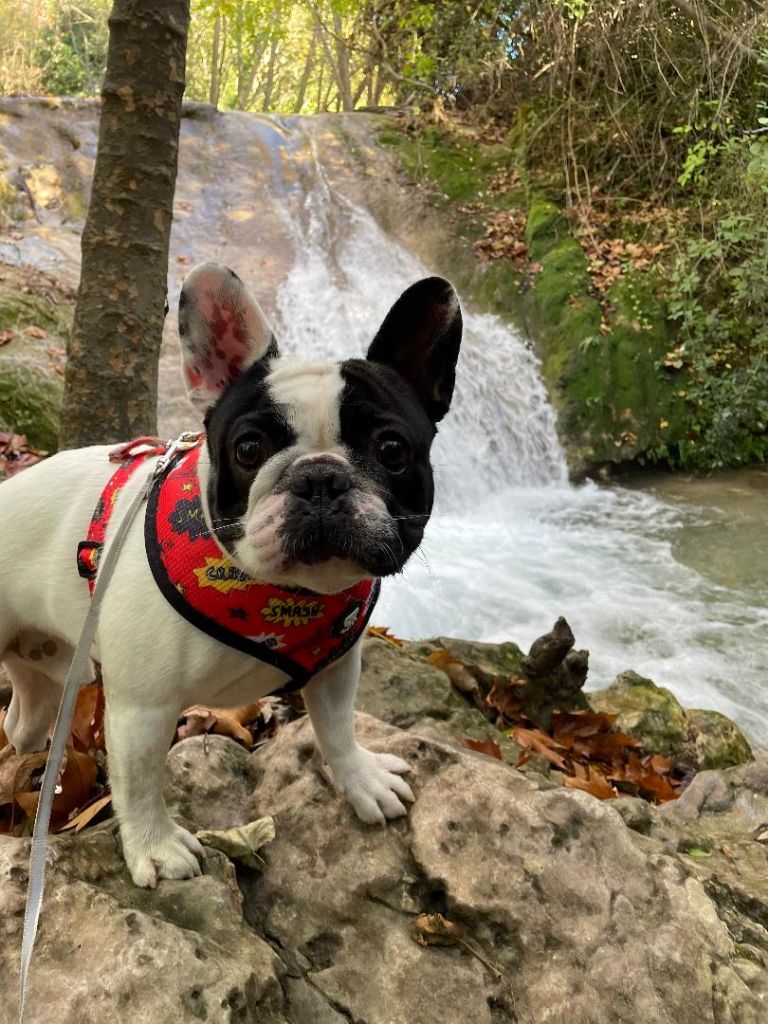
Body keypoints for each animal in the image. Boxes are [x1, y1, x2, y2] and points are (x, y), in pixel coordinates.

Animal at [0, 266, 462, 888]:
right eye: (248, 448)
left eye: (391, 448)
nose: (320, 478)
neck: (281, 597)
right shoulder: (143, 708)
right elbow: (139, 782)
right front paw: (154, 847)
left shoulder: (336, 669)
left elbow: (337, 728)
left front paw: (359, 780)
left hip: (48, 674)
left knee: (23, 722)